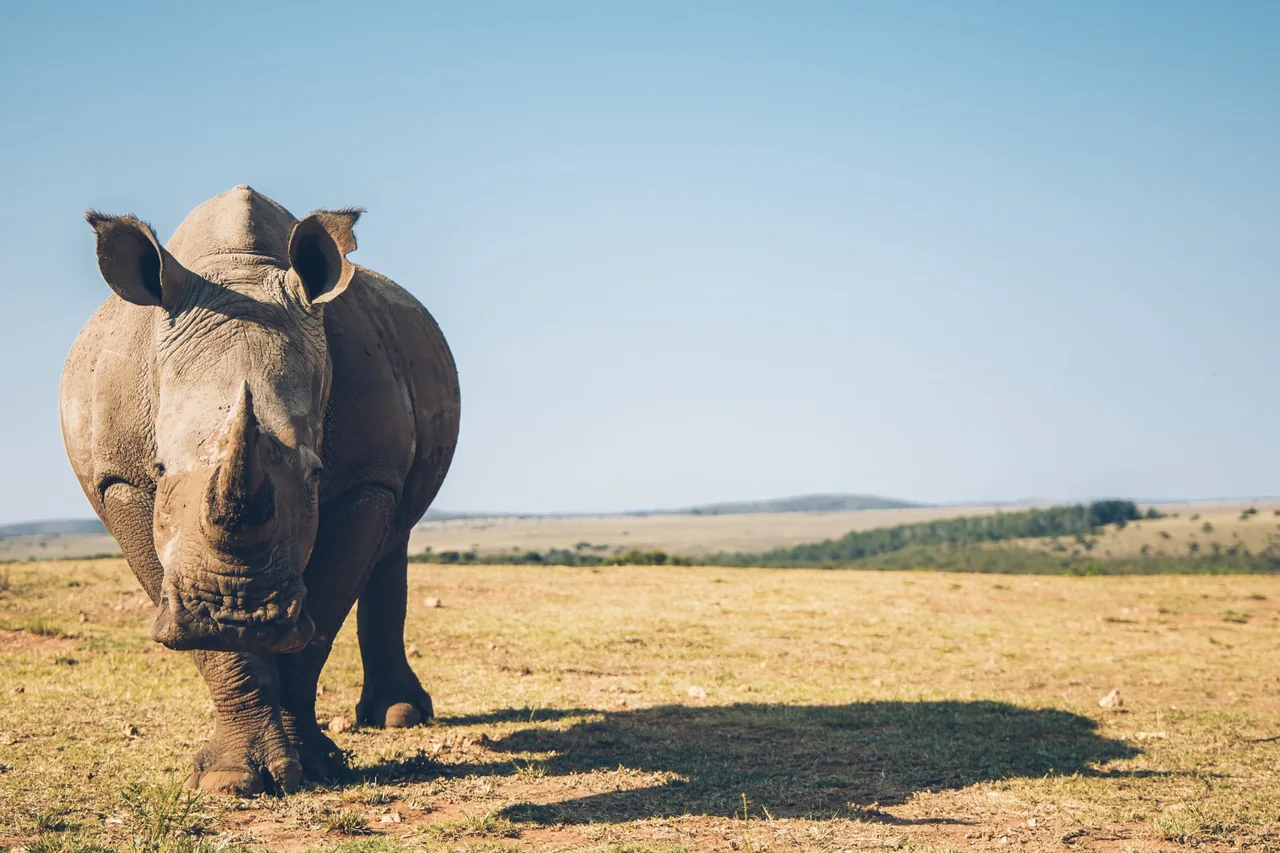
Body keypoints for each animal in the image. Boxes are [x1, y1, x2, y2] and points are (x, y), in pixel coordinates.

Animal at [60, 186, 461, 795]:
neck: (239, 271)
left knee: (396, 537)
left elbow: (319, 622)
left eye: (316, 474)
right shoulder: (118, 479)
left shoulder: (367, 477)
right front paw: (230, 780)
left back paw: (399, 717)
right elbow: (210, 642)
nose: (236, 612)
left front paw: (311, 768)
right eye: (159, 468)